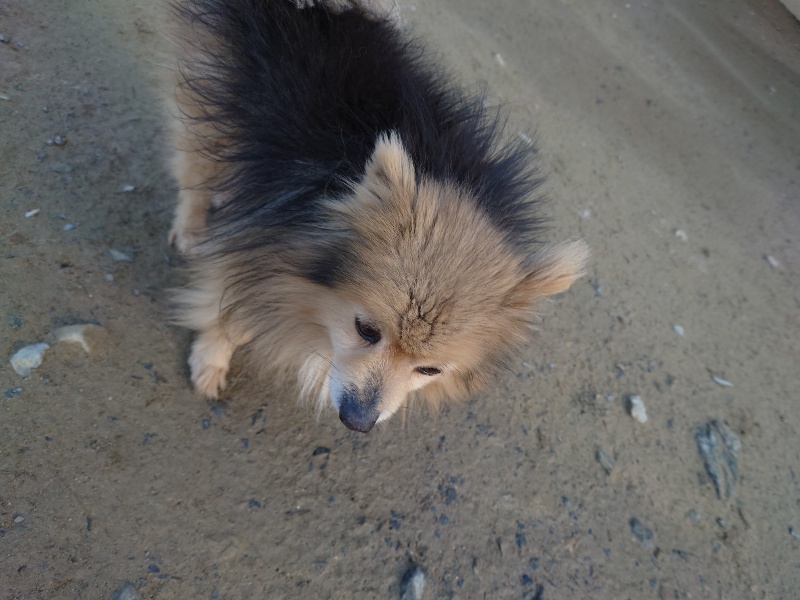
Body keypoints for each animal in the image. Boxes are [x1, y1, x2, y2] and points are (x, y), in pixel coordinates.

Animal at [167, 0, 589, 433]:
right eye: (366, 331)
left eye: (429, 370)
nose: (358, 421)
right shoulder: (263, 243)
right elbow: (230, 311)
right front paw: (212, 358)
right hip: (216, 98)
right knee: (195, 163)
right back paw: (192, 228)